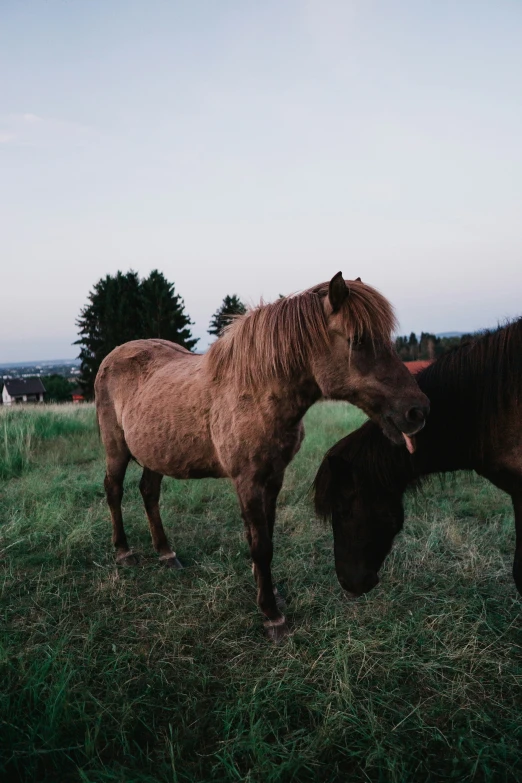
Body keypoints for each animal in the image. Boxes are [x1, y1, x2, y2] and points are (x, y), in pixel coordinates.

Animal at [94, 272, 426, 640]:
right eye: (359, 340)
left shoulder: (273, 477)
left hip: (157, 453)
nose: (417, 411)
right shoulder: (248, 481)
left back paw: (167, 554)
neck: (256, 391)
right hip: (116, 450)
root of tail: (112, 357)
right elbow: (261, 544)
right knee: (114, 490)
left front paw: (268, 591)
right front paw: (272, 615)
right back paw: (124, 552)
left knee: (149, 493)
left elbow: (265, 535)